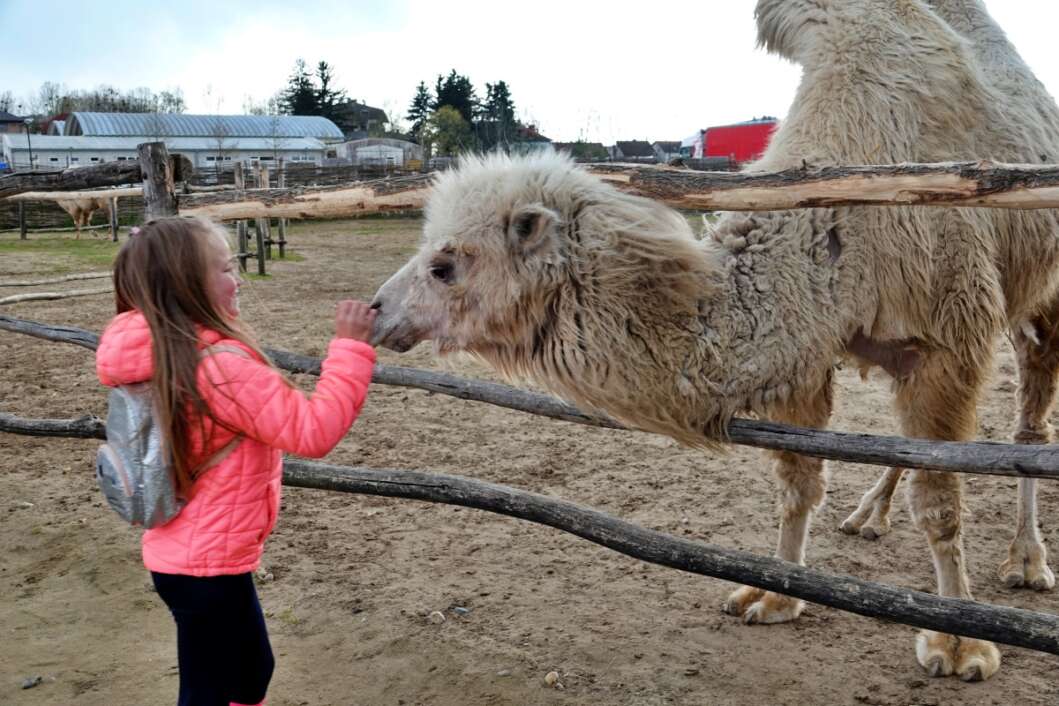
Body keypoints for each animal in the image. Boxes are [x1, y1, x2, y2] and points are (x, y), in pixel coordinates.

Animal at [368, 0, 1059, 685]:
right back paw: (869, 516)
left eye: (445, 265)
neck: (838, 230)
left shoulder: (950, 337)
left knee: (1025, 427)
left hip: (1042, 297)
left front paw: (960, 644)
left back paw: (1025, 561)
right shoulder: (805, 357)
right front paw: (774, 596)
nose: (375, 312)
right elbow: (800, 482)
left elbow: (940, 500)